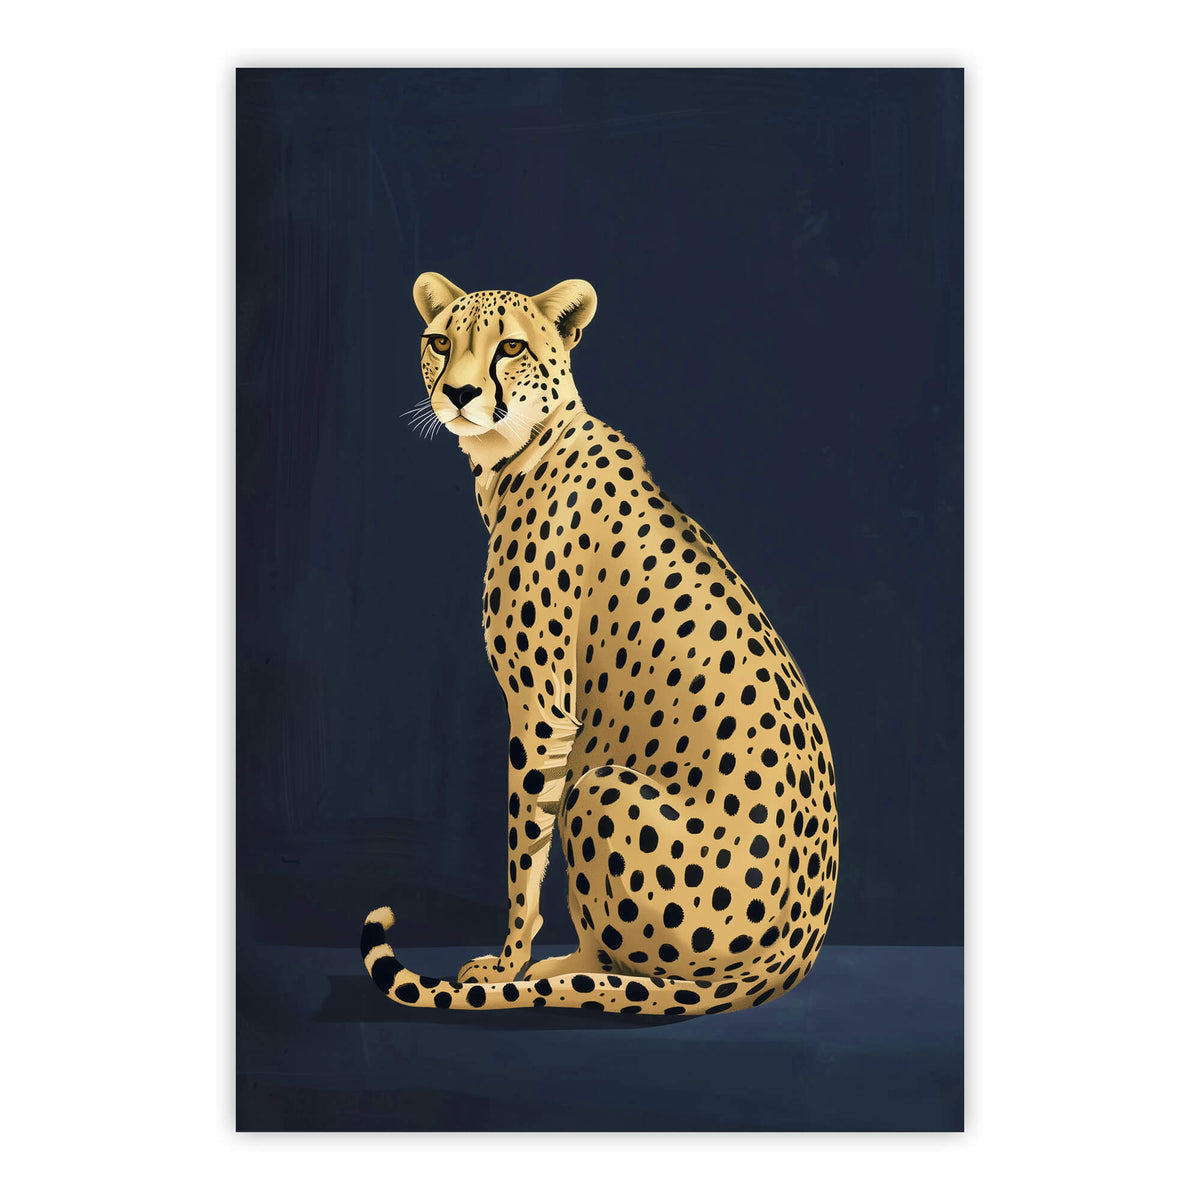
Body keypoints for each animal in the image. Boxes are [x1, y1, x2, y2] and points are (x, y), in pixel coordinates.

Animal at [362, 272, 838, 1016]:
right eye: (440, 341)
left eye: (510, 348)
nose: (460, 395)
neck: (522, 445)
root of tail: (793, 953)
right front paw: (513, 965)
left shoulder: (542, 713)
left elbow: (523, 846)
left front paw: (506, 964)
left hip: (601, 789)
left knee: (631, 967)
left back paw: (549, 976)